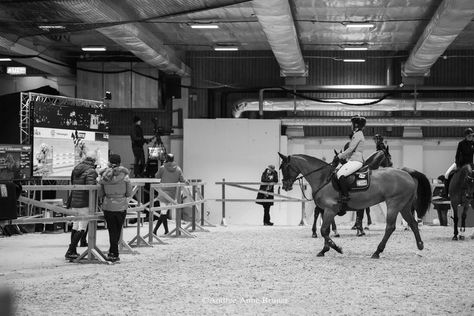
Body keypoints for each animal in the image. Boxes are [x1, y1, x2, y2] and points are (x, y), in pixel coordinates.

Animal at [278, 153, 434, 260]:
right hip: (404, 206)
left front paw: (337, 248)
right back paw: (420, 247)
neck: (323, 178)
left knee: (390, 227)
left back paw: (377, 252)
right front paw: (324, 250)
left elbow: (324, 231)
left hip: (394, 204)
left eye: (285, 167)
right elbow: (326, 231)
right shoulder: (328, 211)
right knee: (413, 224)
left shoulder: (330, 209)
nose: (285, 185)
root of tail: (407, 173)